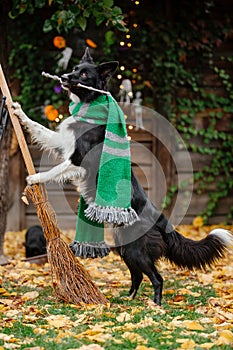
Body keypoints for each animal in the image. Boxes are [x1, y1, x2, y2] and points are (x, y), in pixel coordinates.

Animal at [12, 47, 231, 304]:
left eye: (84, 74)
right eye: (75, 68)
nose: (64, 77)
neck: (90, 104)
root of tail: (160, 218)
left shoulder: (79, 159)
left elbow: (55, 170)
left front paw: (35, 179)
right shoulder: (63, 142)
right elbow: (40, 128)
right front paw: (18, 112)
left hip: (137, 250)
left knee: (157, 277)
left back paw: (154, 306)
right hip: (124, 247)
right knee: (137, 276)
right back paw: (127, 300)